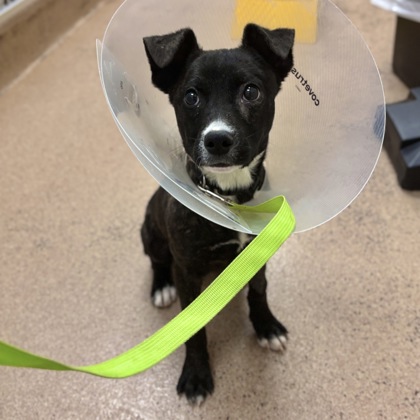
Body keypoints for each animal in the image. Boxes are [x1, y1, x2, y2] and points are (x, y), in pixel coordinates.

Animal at [140, 23, 294, 404]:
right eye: (191, 96)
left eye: (251, 92)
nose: (218, 140)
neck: (228, 198)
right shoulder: (187, 270)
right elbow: (193, 329)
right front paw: (196, 375)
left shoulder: (257, 254)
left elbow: (259, 290)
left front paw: (266, 326)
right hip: (150, 233)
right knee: (157, 261)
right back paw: (161, 287)